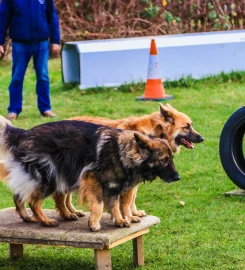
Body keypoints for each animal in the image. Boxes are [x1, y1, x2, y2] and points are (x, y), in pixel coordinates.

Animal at [0, 117, 180, 231]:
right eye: (164, 160)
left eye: (171, 158)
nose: (177, 177)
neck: (121, 152)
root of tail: (23, 133)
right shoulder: (92, 179)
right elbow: (99, 206)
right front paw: (94, 224)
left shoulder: (115, 187)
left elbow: (116, 205)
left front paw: (120, 220)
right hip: (50, 177)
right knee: (34, 201)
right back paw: (45, 220)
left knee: (20, 195)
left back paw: (32, 217)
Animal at [61, 102, 205, 223]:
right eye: (187, 126)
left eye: (191, 125)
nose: (202, 138)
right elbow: (128, 200)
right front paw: (129, 217)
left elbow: (132, 200)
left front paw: (133, 213)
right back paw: (68, 214)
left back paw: (73, 211)